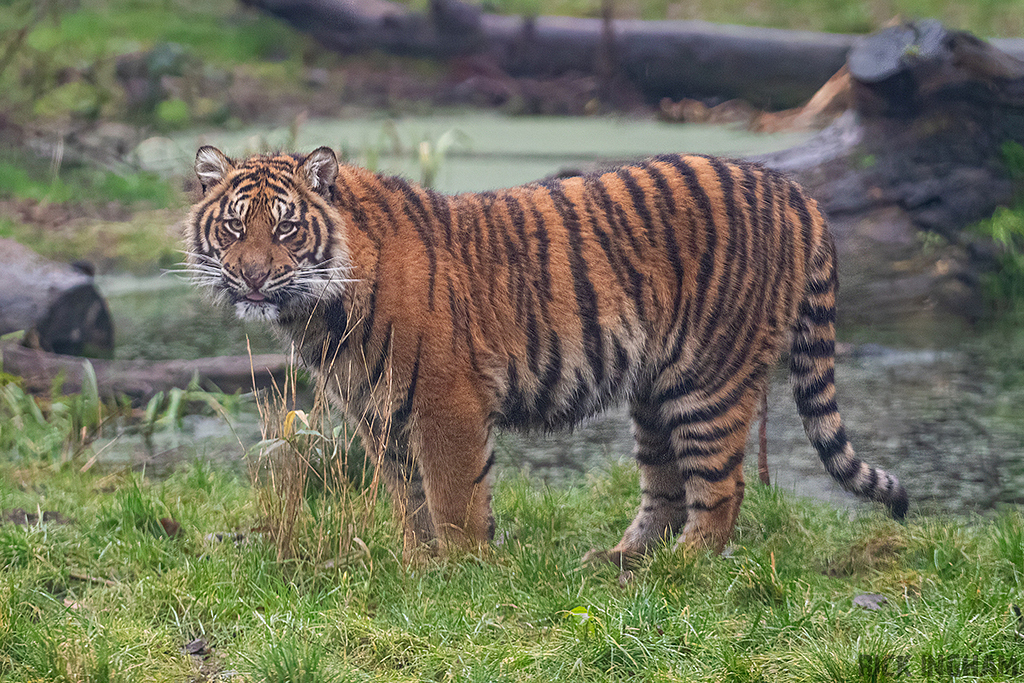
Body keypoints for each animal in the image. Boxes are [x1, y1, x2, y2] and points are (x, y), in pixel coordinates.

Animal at [184, 145, 908, 565]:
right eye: (234, 227)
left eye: (284, 228)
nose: (251, 277)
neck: (319, 313)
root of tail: (796, 192)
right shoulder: (378, 409)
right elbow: (407, 499)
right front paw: (419, 568)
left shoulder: (447, 400)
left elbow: (453, 497)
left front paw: (462, 573)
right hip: (655, 389)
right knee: (666, 488)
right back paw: (618, 565)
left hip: (710, 377)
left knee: (721, 490)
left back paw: (682, 570)